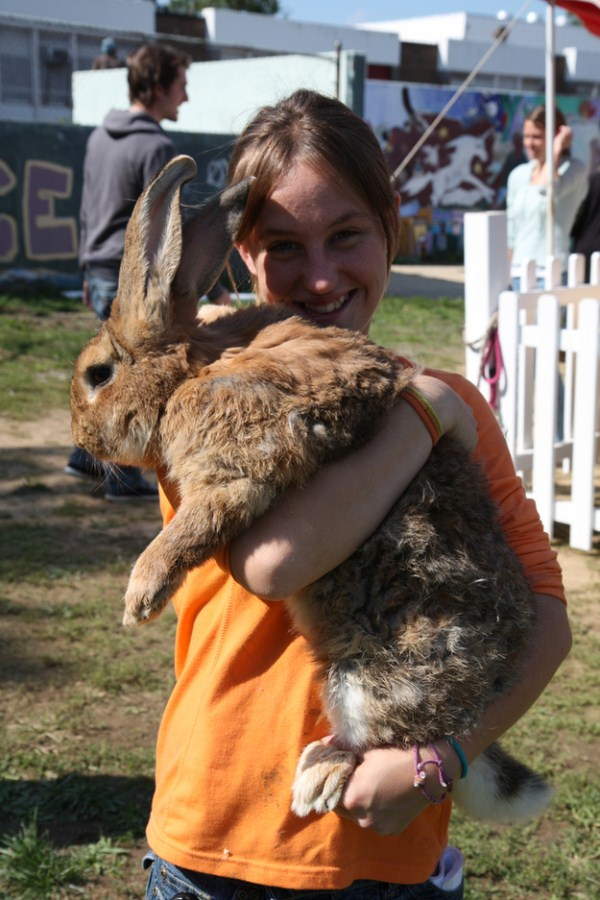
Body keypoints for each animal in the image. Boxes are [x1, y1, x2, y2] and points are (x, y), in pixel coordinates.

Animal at [71, 153, 552, 824]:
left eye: (98, 375)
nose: (82, 437)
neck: (190, 368)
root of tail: (485, 695)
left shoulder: (238, 472)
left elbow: (191, 529)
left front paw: (139, 598)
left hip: (365, 679)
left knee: (387, 740)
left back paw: (317, 779)